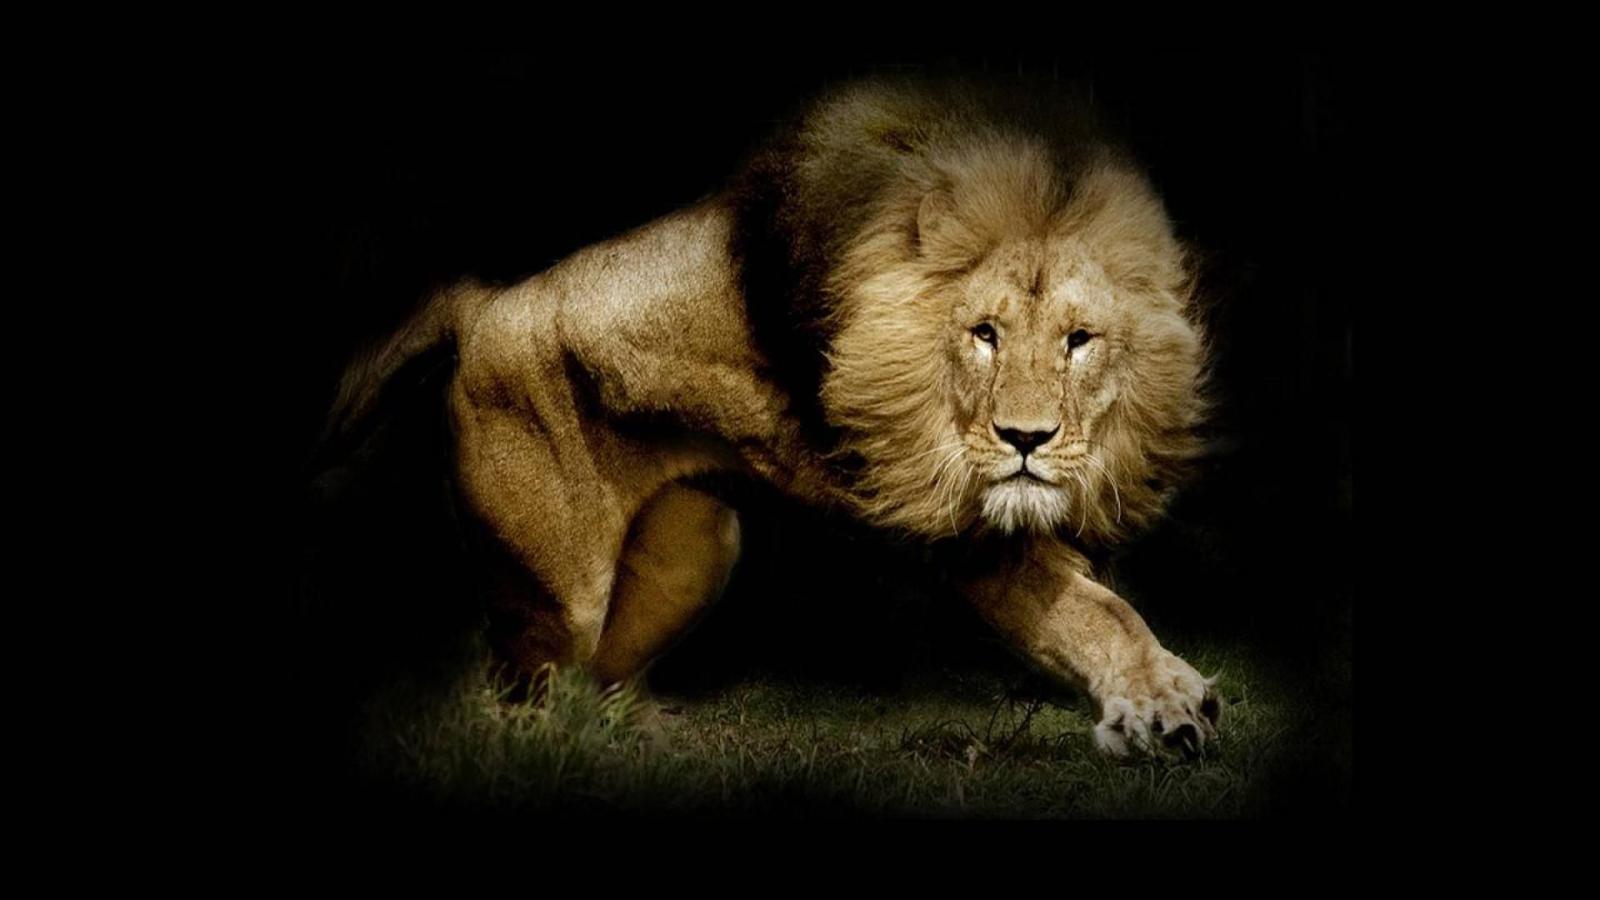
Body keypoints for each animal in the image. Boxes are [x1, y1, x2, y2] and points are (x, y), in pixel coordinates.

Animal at [324, 78, 1222, 756]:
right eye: (984, 334)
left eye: (1080, 340)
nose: (1026, 440)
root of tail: (482, 305)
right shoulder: (957, 526)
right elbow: (1094, 611)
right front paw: (1165, 703)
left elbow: (1101, 599)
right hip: (556, 597)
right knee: (510, 701)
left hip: (694, 553)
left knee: (597, 682)